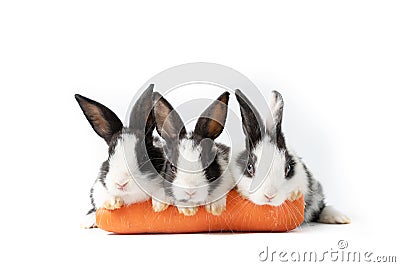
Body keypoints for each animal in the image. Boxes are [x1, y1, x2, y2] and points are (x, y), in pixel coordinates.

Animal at [76, 85, 165, 229]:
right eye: (109, 154)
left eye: (143, 156)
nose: (121, 183)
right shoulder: (98, 188)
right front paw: (112, 202)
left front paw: (159, 204)